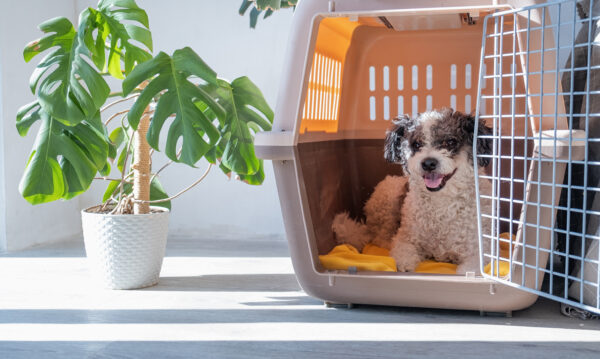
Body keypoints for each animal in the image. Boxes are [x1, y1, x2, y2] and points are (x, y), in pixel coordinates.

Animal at [332, 108, 492, 274]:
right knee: (380, 237)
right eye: (416, 144)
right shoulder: (405, 240)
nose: (428, 163)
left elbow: (470, 270)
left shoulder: (478, 251)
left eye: (450, 142)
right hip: (387, 199)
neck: (441, 202)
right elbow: (402, 257)